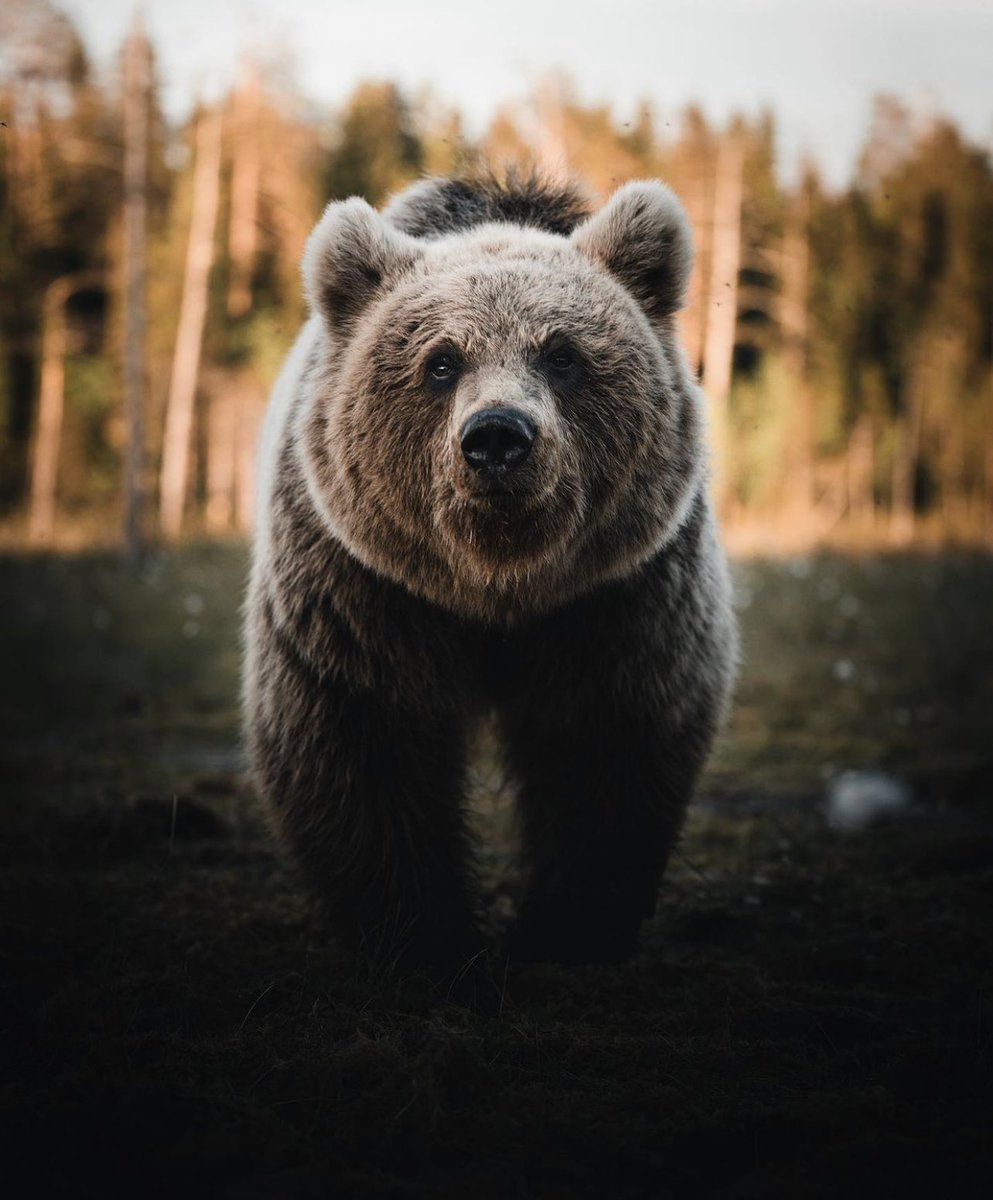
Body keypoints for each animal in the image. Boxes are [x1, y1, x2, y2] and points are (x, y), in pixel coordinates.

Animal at [244, 172, 738, 976]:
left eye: (562, 354)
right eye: (441, 361)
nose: (498, 437)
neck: (497, 589)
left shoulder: (618, 597)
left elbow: (602, 745)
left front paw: (568, 928)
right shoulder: (361, 591)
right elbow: (363, 743)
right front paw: (423, 938)